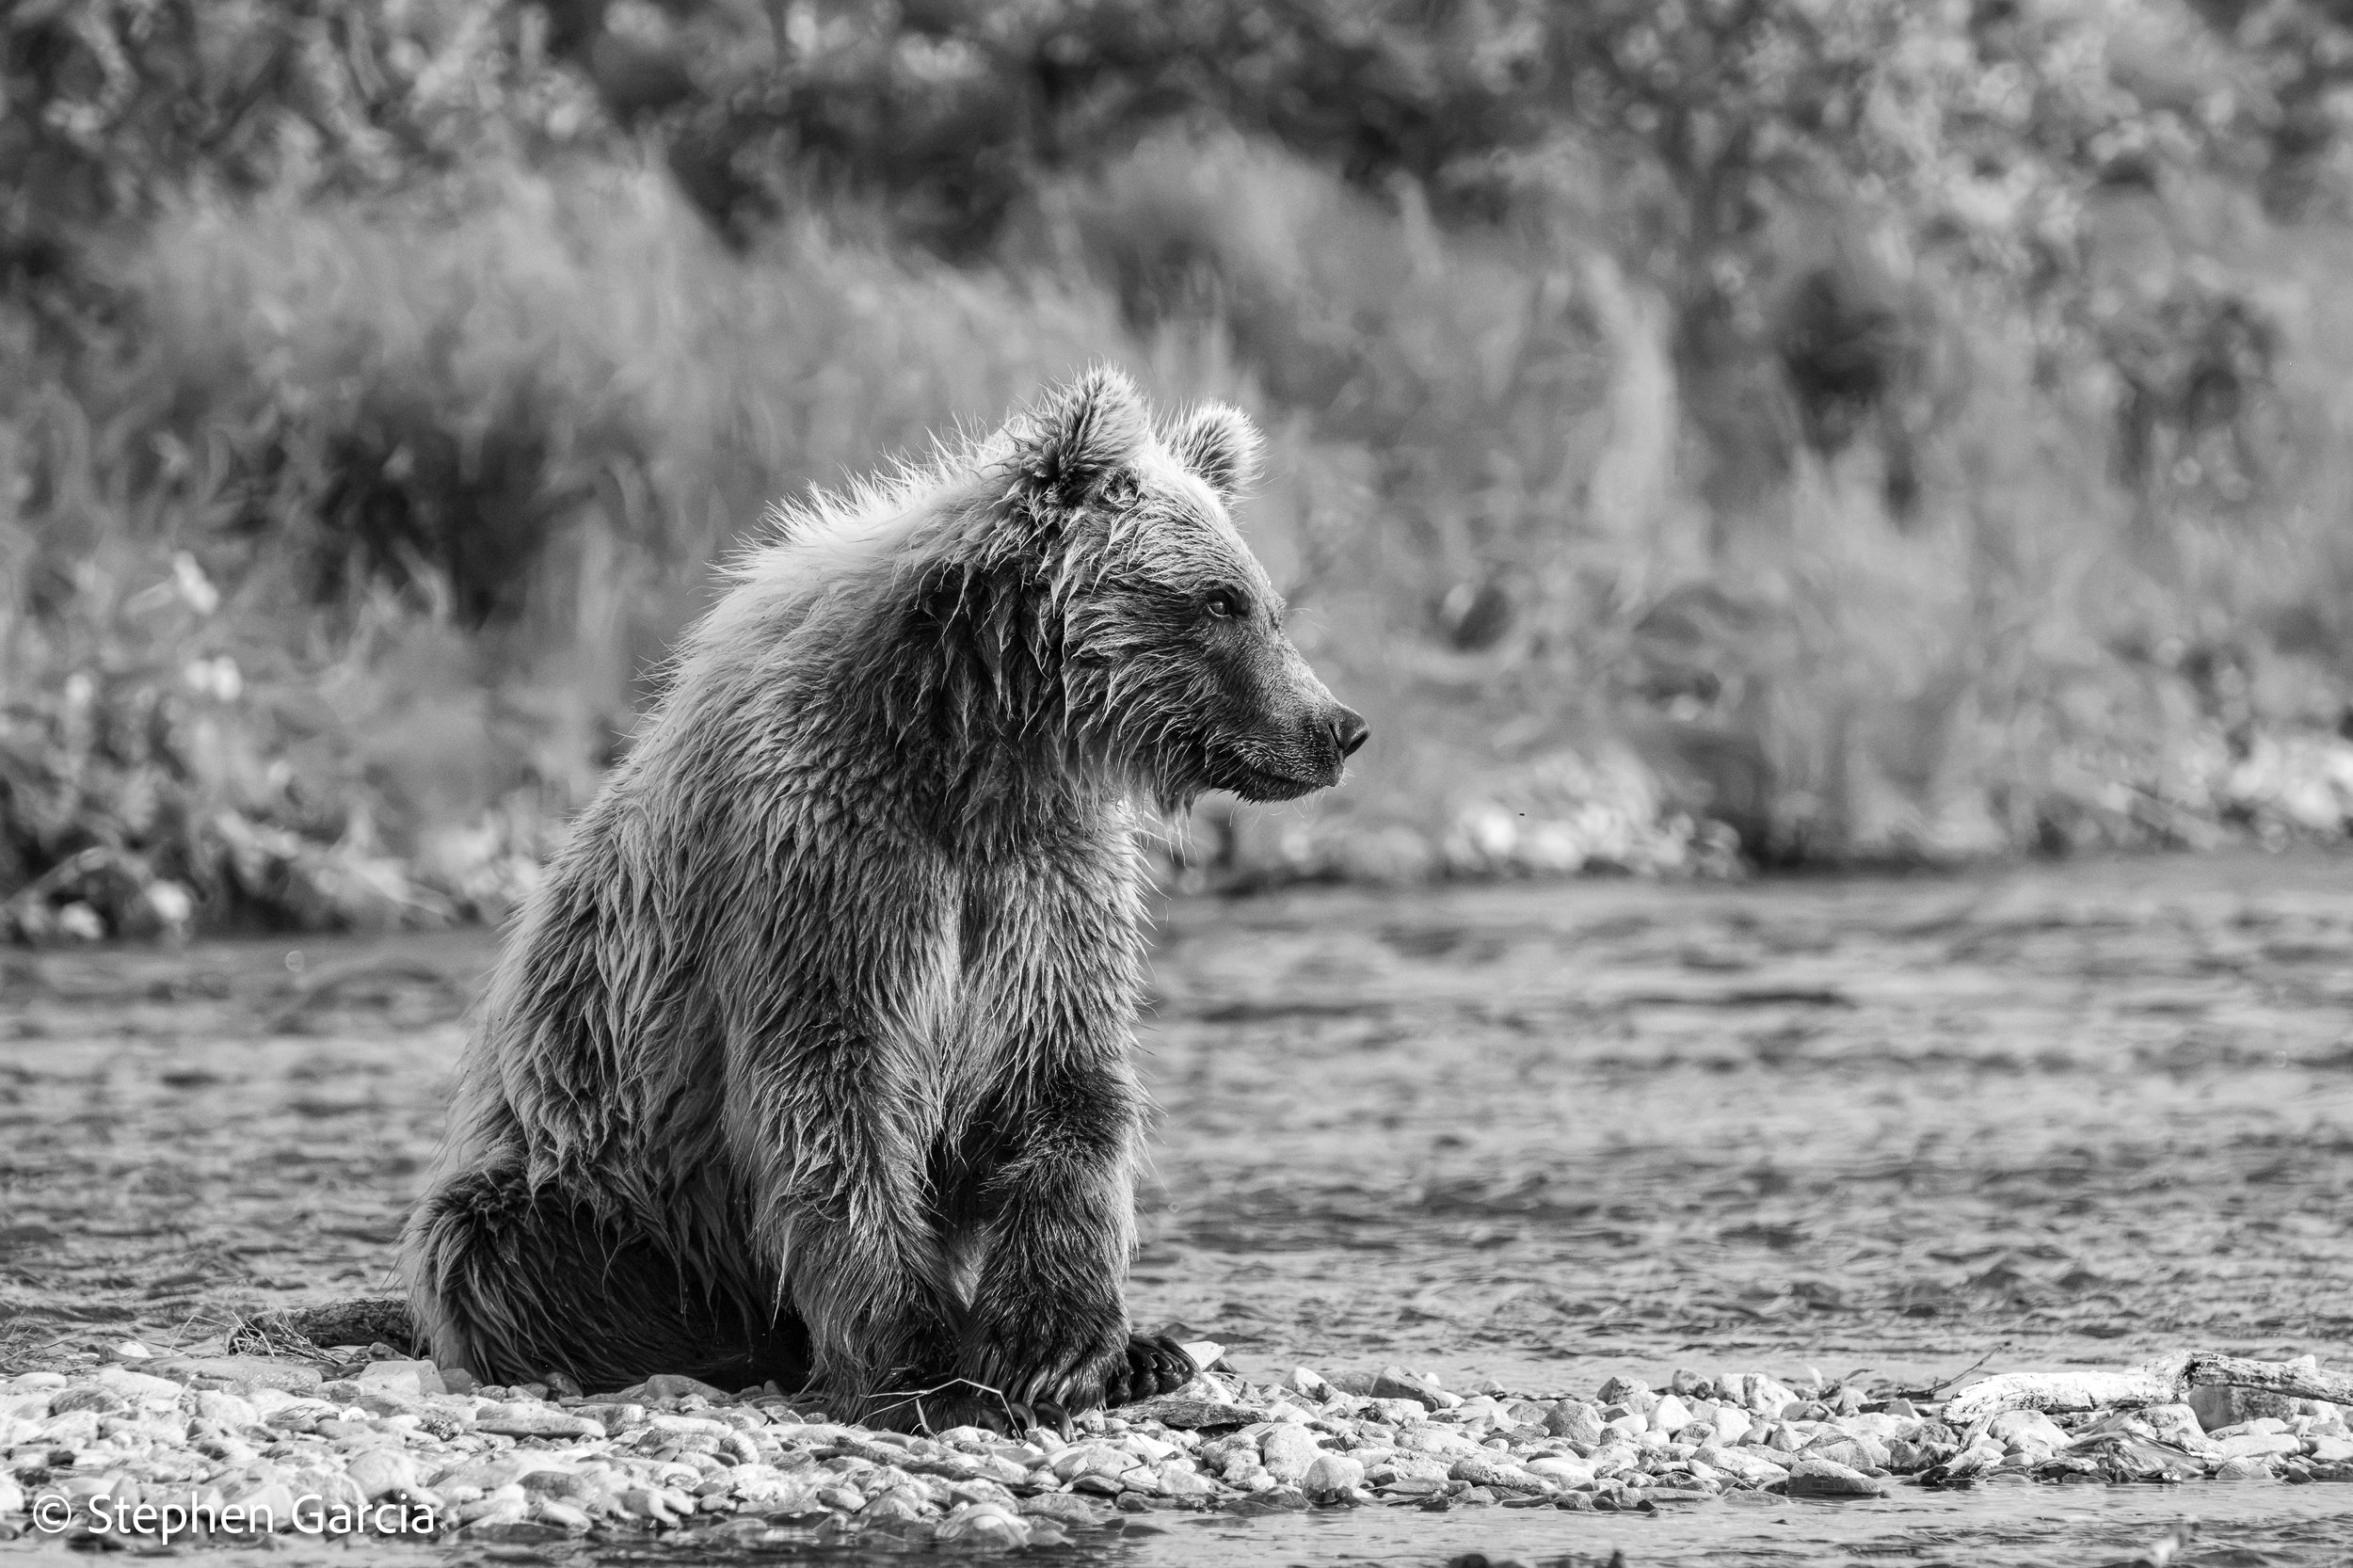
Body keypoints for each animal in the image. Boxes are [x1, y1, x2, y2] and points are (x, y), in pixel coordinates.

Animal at [398, 366, 1366, 1432]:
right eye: (1220, 600)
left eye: (1264, 602)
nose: (1338, 726)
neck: (979, 744)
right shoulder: (826, 851)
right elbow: (831, 1090)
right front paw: (928, 1360)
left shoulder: (1045, 876)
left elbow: (1061, 1075)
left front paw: (1067, 1346)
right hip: (579, 1180)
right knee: (534, 1262)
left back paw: (1149, 1354)